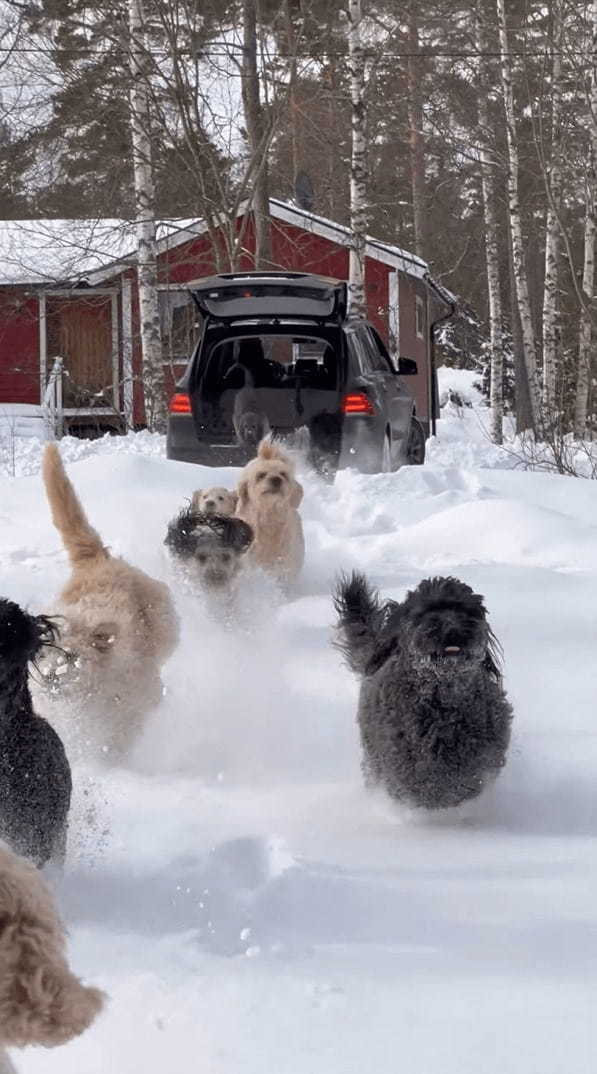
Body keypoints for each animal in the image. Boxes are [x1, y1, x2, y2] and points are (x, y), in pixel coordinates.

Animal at [34, 444, 179, 764]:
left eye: (71, 657)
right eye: (43, 654)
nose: (50, 680)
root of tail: (97, 559)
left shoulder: (132, 701)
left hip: (165, 626)